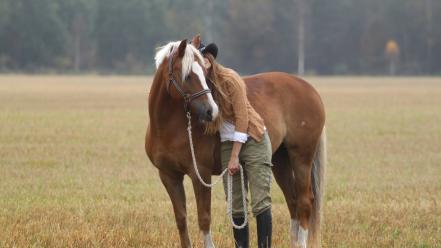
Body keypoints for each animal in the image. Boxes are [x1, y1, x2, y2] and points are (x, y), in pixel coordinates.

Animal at [146, 39, 324, 247]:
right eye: (188, 75)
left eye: (204, 74)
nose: (211, 111)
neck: (169, 127)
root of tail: (309, 89)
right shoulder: (169, 176)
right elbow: (181, 219)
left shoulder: (200, 175)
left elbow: (204, 218)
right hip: (281, 161)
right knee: (293, 201)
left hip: (301, 158)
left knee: (304, 201)